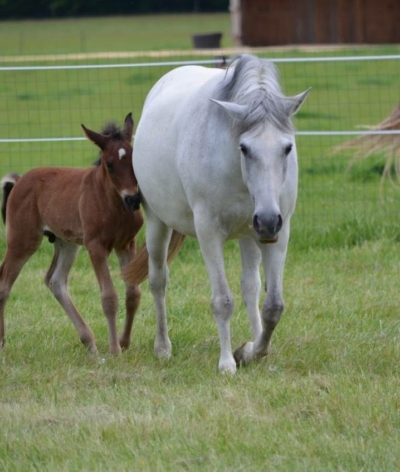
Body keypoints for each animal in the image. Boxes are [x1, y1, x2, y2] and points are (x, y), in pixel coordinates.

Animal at [125, 54, 310, 372]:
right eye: (244, 148)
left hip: (250, 233)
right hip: (158, 225)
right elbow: (222, 301)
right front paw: (226, 363)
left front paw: (252, 351)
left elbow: (273, 306)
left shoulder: (279, 231)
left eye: (287, 148)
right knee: (158, 281)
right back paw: (163, 347)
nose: (267, 219)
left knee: (251, 287)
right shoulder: (209, 232)